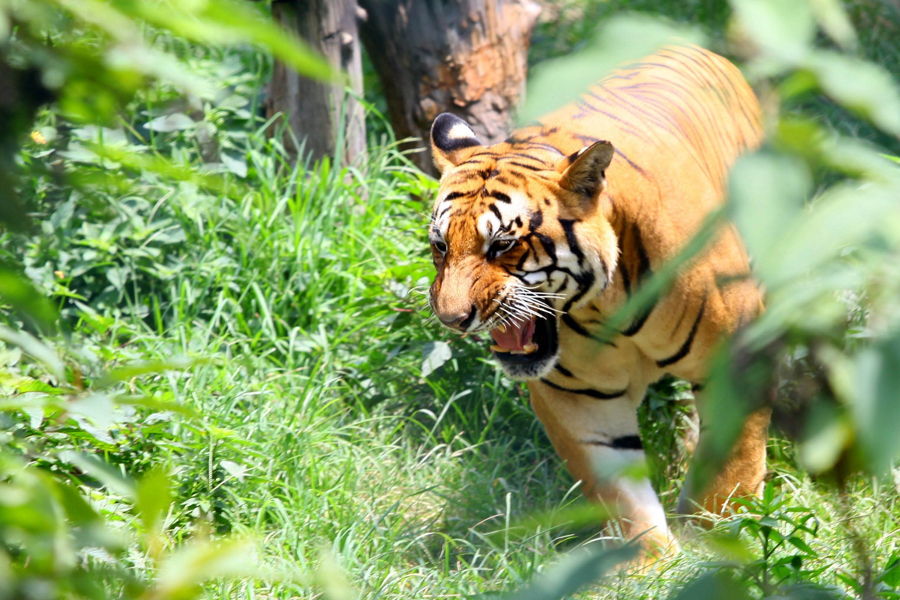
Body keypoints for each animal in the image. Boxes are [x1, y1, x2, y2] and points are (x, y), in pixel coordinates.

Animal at [426, 44, 768, 556]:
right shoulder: (579, 394)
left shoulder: (738, 353)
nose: (452, 318)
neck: (606, 306)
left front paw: (719, 536)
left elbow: (735, 461)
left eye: (503, 245)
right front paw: (648, 559)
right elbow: (618, 486)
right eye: (441, 245)